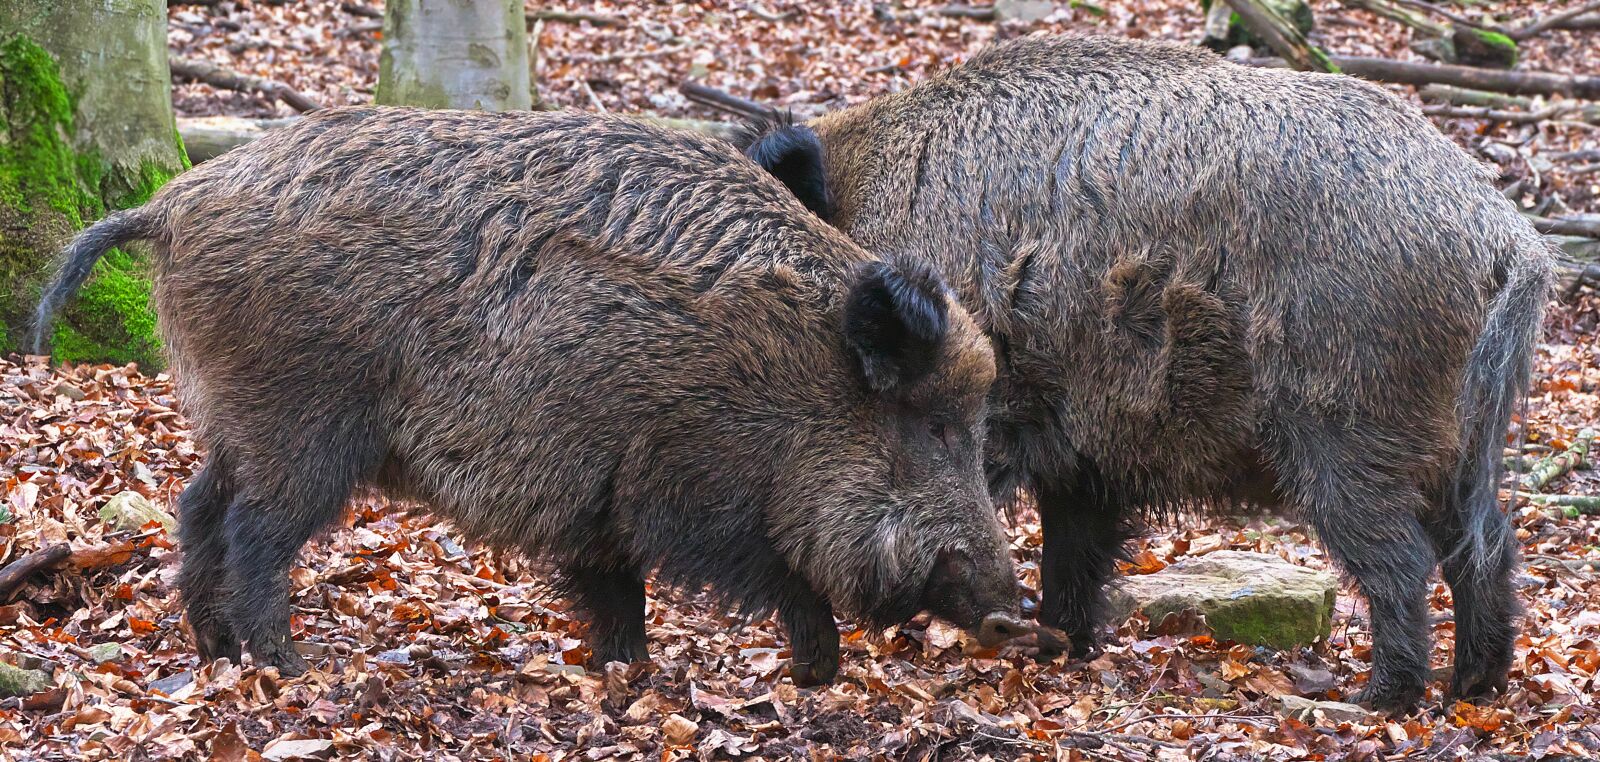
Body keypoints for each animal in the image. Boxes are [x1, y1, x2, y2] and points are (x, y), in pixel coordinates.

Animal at [33, 107, 1032, 685]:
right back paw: (287, 665)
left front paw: (626, 673)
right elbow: (773, 577)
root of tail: (170, 208)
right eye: (936, 427)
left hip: (241, 416)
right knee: (253, 529)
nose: (1011, 612)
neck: (794, 374)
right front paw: (817, 675)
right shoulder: (687, 485)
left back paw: (216, 651)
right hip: (300, 422)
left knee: (196, 503)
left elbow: (615, 590)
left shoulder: (601, 495)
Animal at [736, 35, 1553, 708]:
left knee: (1403, 559)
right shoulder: (1080, 447)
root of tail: (1509, 238)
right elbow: (1075, 549)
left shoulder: (990, 414)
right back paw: (1474, 686)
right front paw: (1062, 648)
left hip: (1348, 423)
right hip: (1455, 437)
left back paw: (1375, 701)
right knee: (1484, 544)